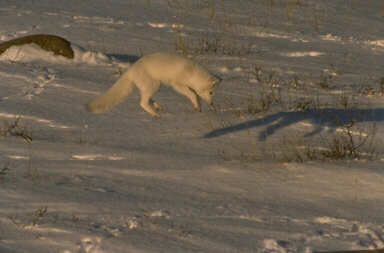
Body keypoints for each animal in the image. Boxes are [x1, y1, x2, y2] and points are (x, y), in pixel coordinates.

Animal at [86, 52, 219, 118]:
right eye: (211, 92)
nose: (212, 104)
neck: (193, 74)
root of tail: (131, 70)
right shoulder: (176, 83)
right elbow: (192, 94)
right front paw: (197, 105)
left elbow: (195, 96)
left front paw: (198, 107)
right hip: (154, 85)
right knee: (142, 102)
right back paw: (156, 114)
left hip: (154, 86)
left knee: (147, 99)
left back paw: (157, 107)